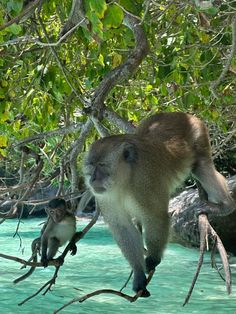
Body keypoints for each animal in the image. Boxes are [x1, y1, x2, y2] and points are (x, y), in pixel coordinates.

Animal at [82, 112, 234, 296]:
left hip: (199, 133)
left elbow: (156, 217)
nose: (92, 179)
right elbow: (123, 228)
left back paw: (226, 205)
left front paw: (153, 259)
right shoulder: (105, 196)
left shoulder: (145, 181)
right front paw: (139, 274)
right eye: (91, 167)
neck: (125, 179)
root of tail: (181, 114)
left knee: (202, 166)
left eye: (102, 166)